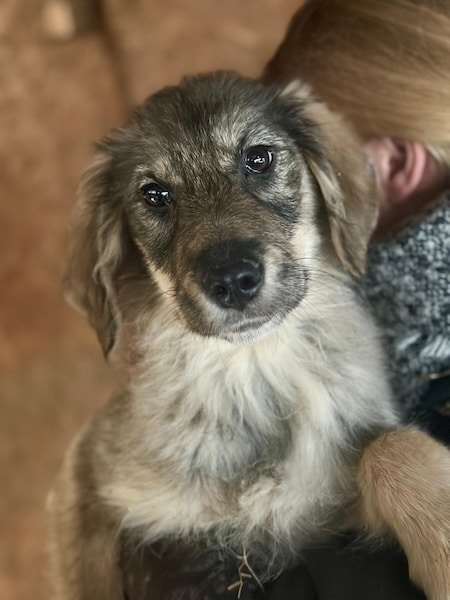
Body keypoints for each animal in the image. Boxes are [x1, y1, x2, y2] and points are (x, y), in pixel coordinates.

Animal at [48, 72, 450, 600]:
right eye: (154, 195)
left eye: (258, 158)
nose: (233, 280)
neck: (254, 366)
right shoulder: (88, 475)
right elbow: (88, 565)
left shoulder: (321, 514)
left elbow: (390, 446)